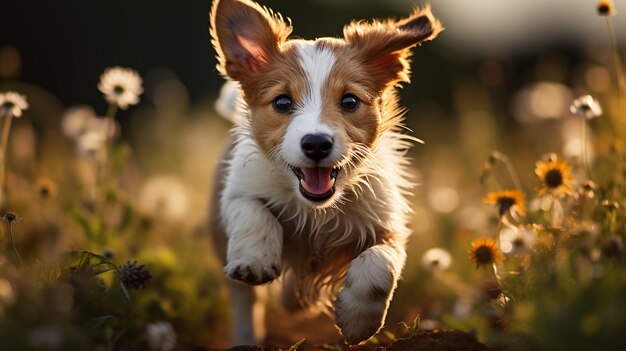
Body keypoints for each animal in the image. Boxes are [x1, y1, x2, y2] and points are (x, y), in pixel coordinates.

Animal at [207, 0, 442, 346]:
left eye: (349, 100)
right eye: (282, 102)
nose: (316, 143)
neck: (316, 210)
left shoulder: (388, 226)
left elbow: (380, 263)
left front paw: (358, 320)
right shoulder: (236, 191)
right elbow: (253, 211)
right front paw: (255, 260)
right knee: (245, 301)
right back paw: (246, 338)